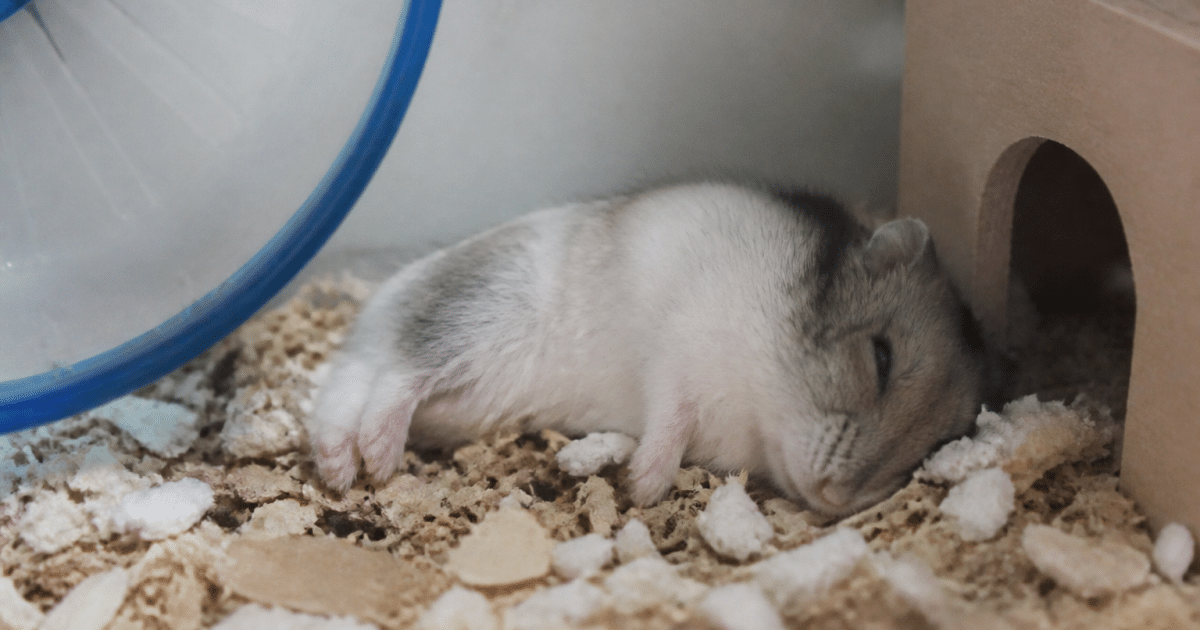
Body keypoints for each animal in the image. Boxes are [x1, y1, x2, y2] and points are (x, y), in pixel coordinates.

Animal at [308, 181, 988, 516]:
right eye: (881, 357)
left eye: (938, 443)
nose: (834, 500)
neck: (762, 395)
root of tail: (375, 309)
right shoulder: (678, 355)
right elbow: (672, 419)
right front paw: (643, 486)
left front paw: (642, 487)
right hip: (479, 320)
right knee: (395, 374)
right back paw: (377, 459)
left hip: (462, 387)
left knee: (345, 391)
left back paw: (341, 466)